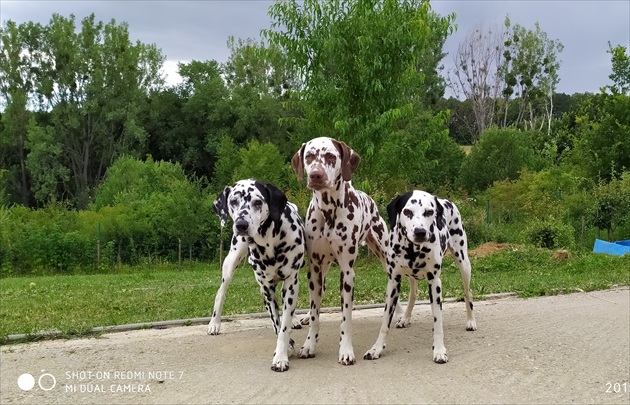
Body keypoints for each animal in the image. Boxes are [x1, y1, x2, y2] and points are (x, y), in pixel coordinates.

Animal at [207, 178, 306, 370]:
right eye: (233, 201)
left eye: (258, 202)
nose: (241, 225)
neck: (269, 242)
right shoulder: (267, 290)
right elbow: (277, 323)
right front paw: (285, 349)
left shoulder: (291, 282)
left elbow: (284, 324)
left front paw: (281, 355)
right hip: (231, 263)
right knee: (221, 292)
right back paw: (214, 324)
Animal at [292, 137, 420, 364]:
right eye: (309, 156)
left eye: (330, 156)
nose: (316, 175)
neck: (328, 212)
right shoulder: (314, 268)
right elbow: (316, 312)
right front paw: (309, 344)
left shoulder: (347, 272)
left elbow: (346, 318)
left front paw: (346, 350)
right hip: (324, 267)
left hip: (385, 255)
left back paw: (399, 315)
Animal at [366, 189, 478, 362]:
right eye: (407, 211)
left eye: (429, 212)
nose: (420, 232)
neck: (413, 249)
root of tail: (446, 201)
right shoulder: (393, 283)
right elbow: (385, 322)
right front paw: (376, 349)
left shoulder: (435, 283)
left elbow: (438, 321)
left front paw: (439, 350)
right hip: (411, 277)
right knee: (413, 293)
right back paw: (405, 318)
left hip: (463, 262)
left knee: (468, 292)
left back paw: (471, 321)